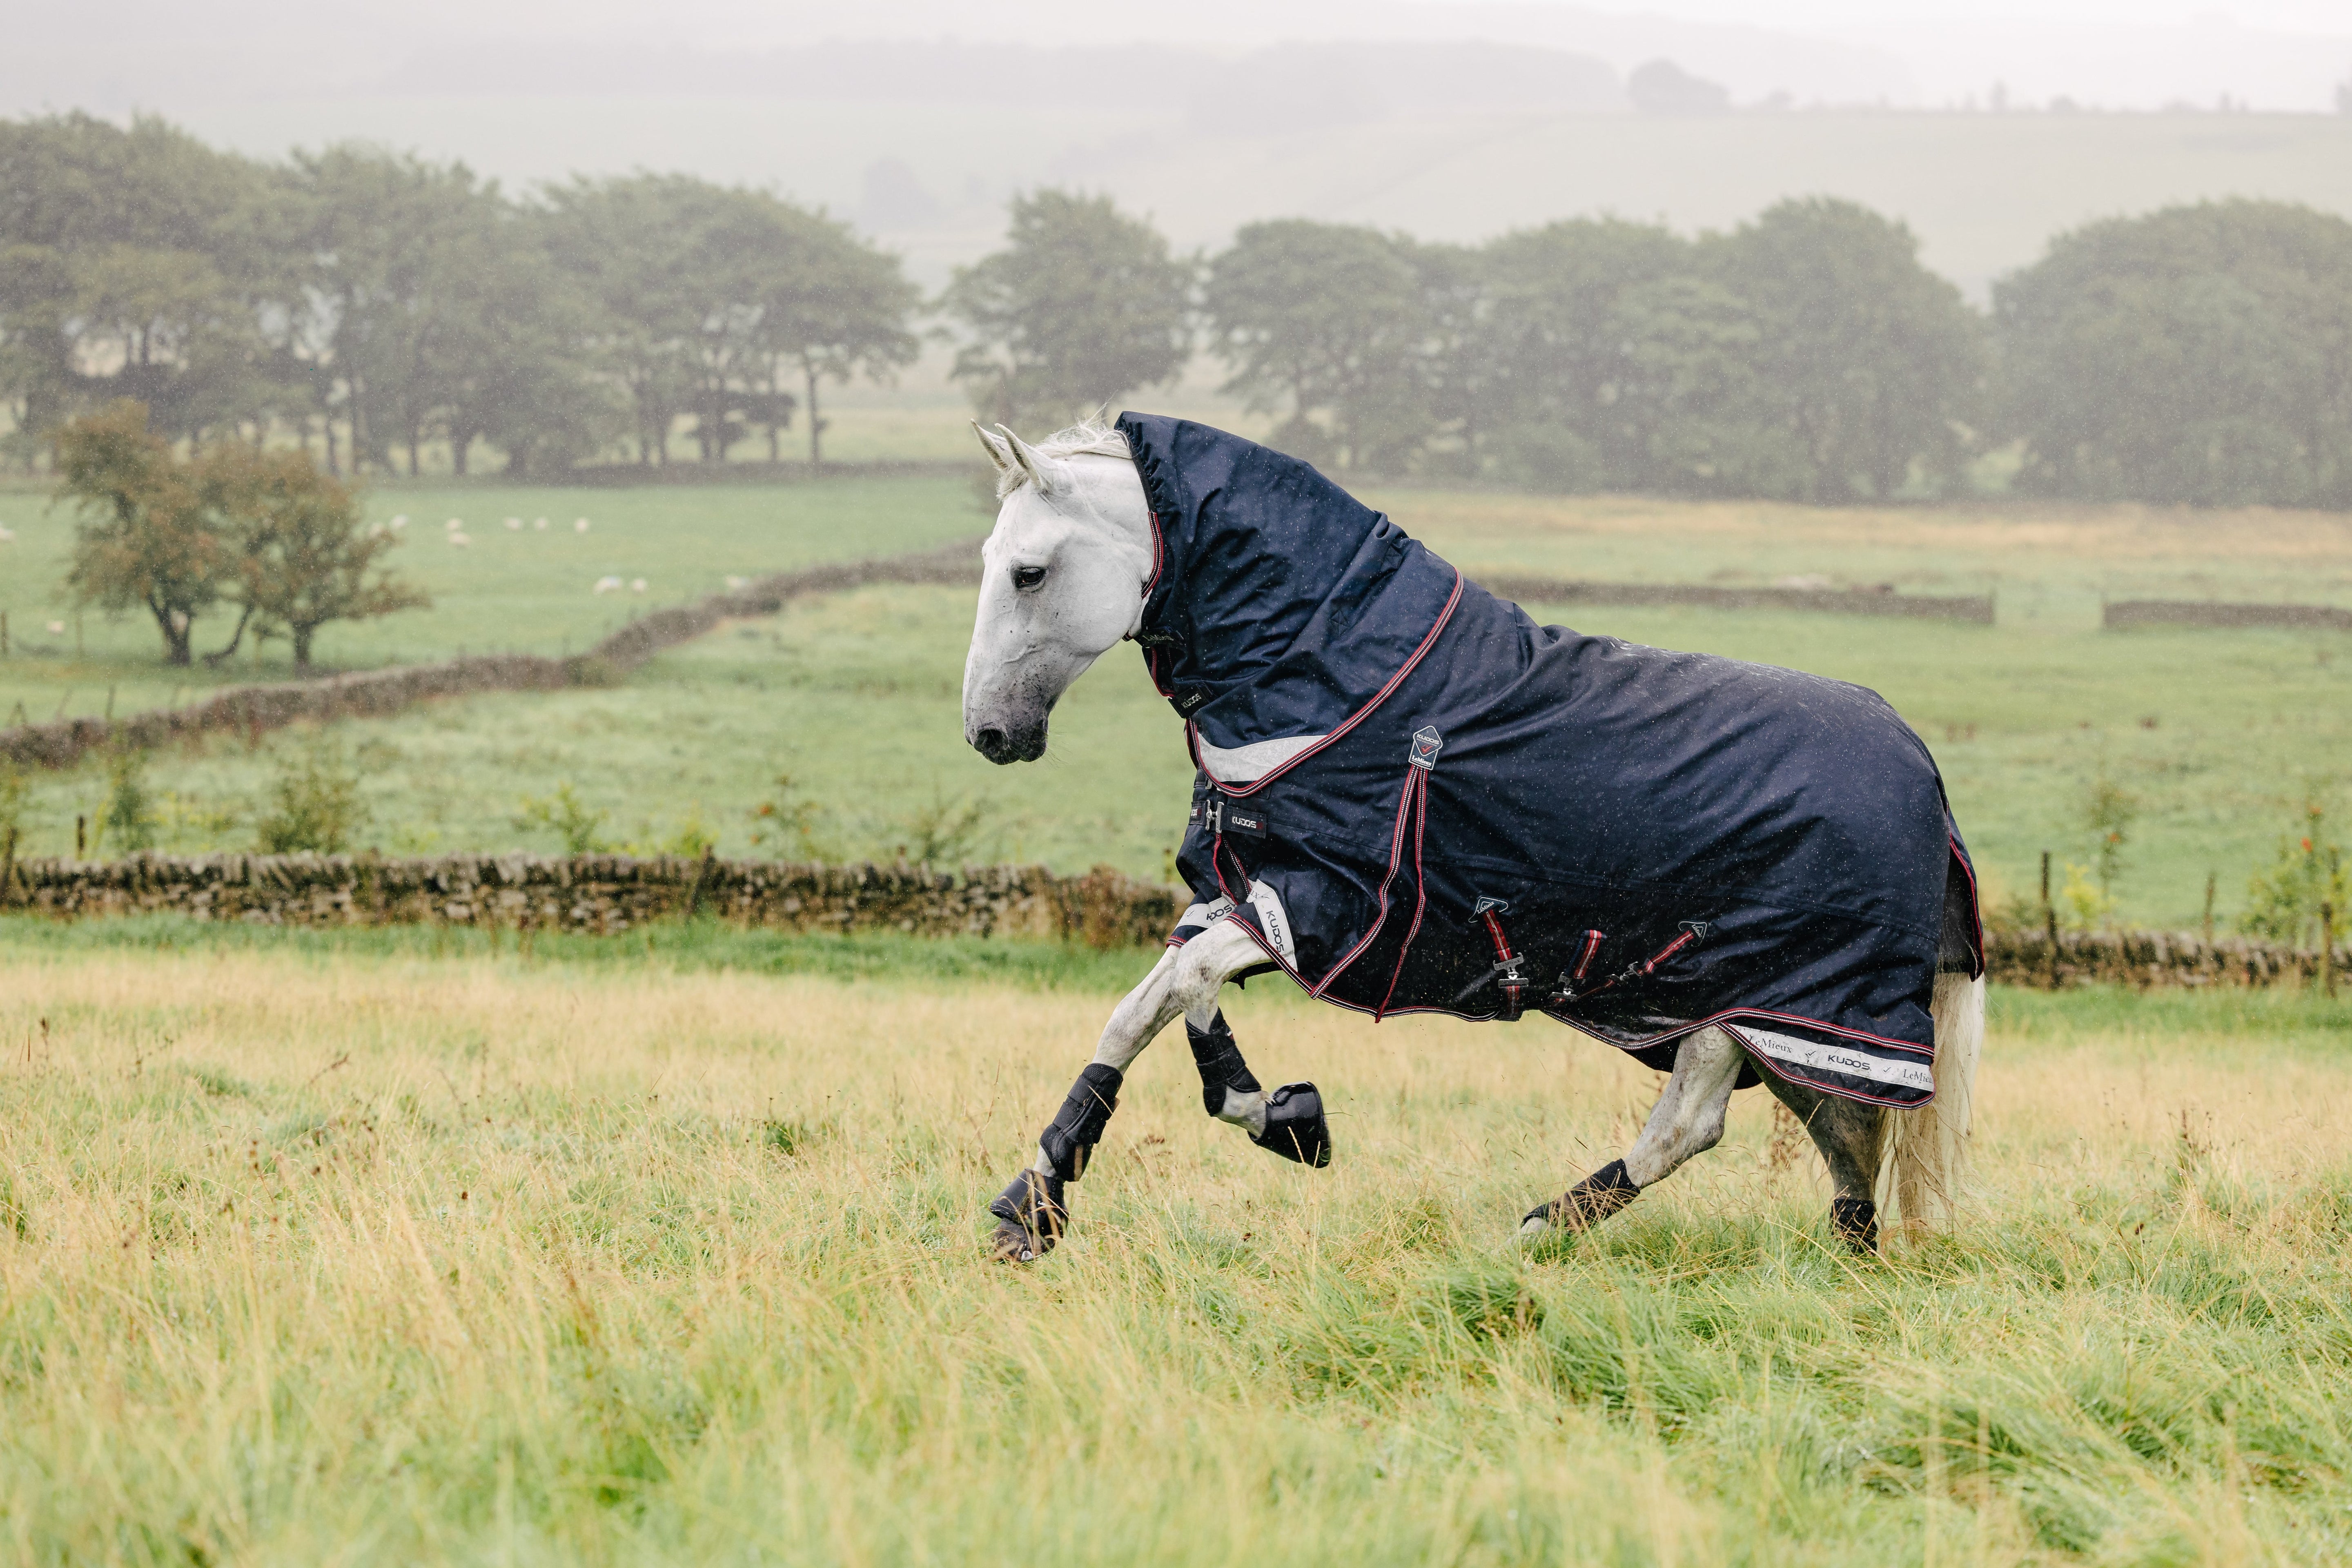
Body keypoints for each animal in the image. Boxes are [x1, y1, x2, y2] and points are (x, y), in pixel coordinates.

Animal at [961, 413, 1984, 1263]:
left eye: (1028, 572)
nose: (989, 734)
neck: (1343, 682)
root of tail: (1924, 775)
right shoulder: (1244, 893)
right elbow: (1154, 1006)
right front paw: (1042, 1202)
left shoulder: (1328, 913)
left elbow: (1180, 991)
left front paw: (1271, 1122)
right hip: (1758, 1008)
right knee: (1815, 1134)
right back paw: (1829, 1257)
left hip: (1781, 1002)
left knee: (1708, 1125)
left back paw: (1541, 1232)